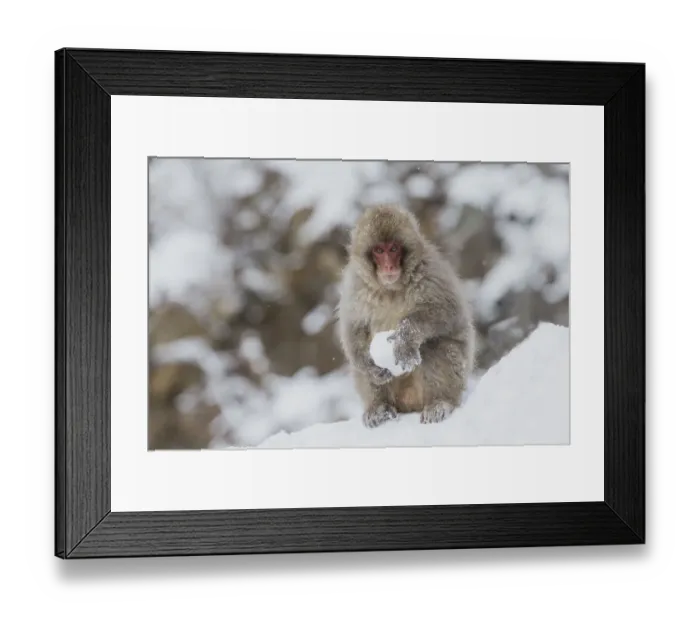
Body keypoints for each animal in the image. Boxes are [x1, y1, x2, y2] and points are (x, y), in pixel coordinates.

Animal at [337, 203, 477, 429]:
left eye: (393, 249)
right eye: (379, 250)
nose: (388, 266)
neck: (390, 289)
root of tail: (410, 404)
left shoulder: (431, 272)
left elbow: (448, 312)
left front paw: (405, 338)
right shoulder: (355, 285)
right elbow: (353, 328)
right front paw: (370, 365)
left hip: (455, 379)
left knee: (434, 345)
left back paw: (440, 402)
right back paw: (379, 408)